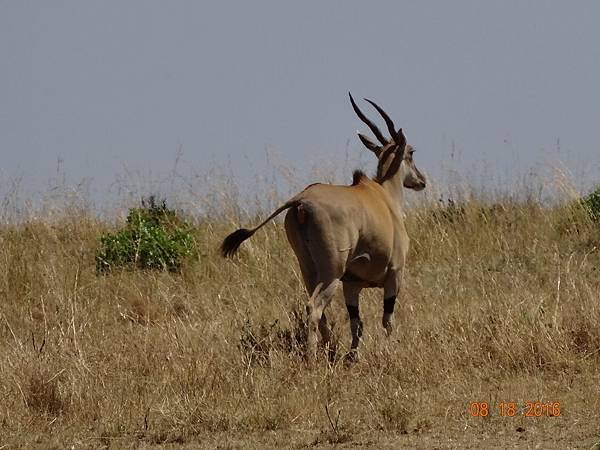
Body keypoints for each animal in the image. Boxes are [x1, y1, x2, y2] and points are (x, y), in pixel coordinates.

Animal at [221, 93, 426, 364]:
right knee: (314, 307)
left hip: (310, 270)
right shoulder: (394, 275)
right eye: (411, 152)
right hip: (331, 273)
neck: (383, 195)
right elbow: (387, 321)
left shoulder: (352, 284)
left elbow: (357, 323)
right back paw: (312, 357)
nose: (421, 181)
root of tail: (301, 201)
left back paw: (329, 351)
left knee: (320, 311)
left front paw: (352, 357)